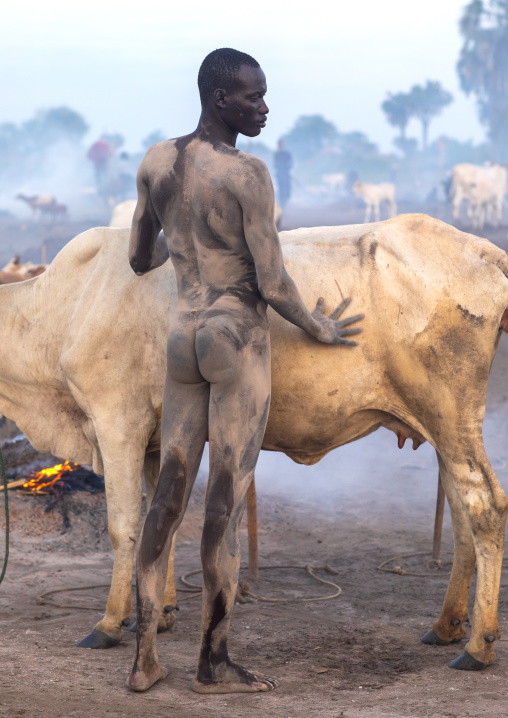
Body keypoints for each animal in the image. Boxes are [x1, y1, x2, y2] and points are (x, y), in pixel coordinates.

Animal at [1, 213, 508, 674]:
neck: (64, 306)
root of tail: (483, 250)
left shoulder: (117, 423)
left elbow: (123, 526)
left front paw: (108, 624)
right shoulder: (157, 438)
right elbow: (161, 521)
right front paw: (160, 613)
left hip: (450, 415)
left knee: (485, 506)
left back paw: (477, 646)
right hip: (441, 428)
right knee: (461, 514)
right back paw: (446, 625)